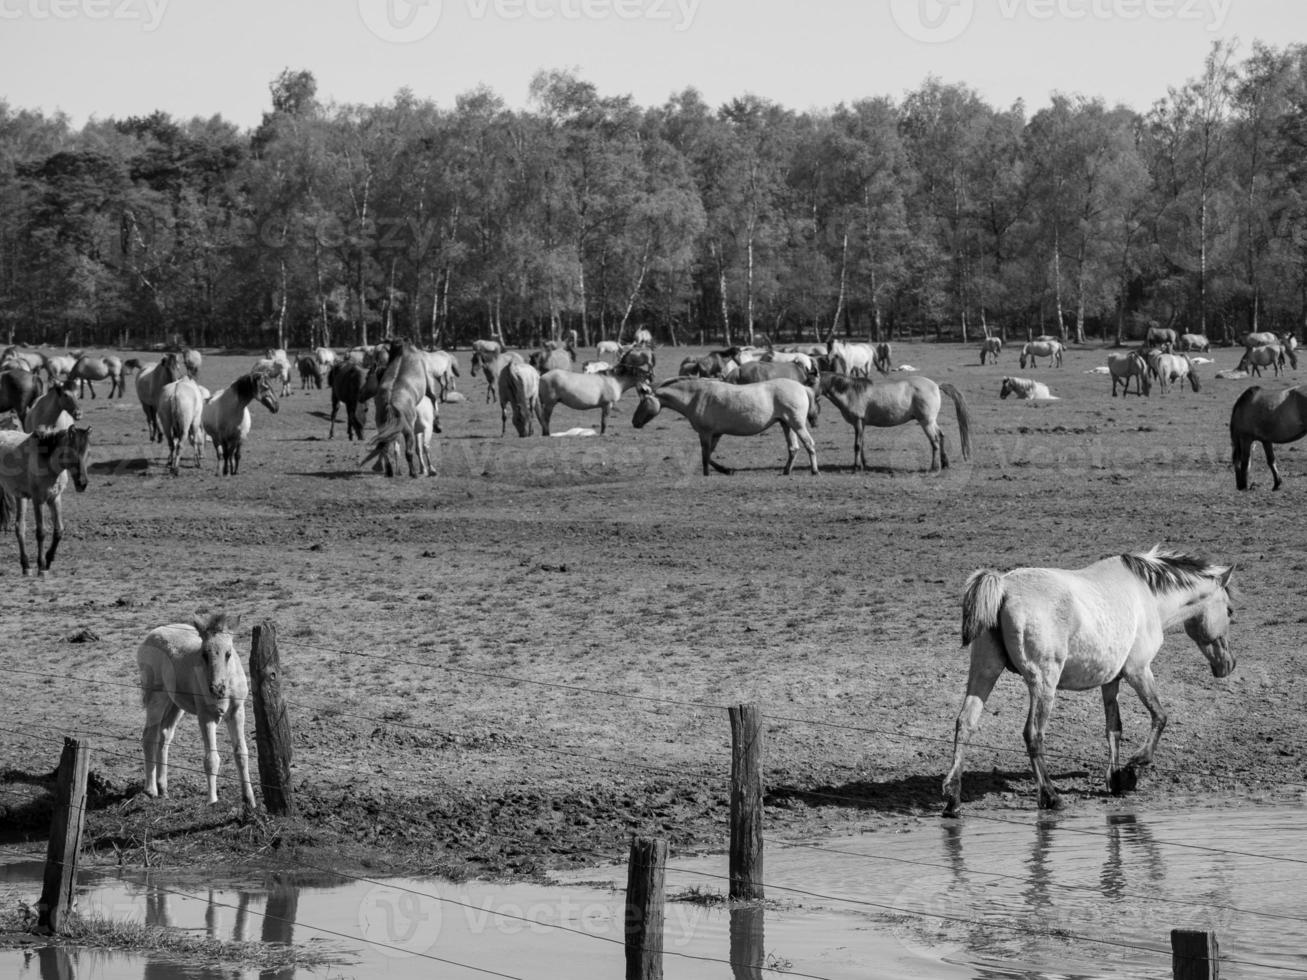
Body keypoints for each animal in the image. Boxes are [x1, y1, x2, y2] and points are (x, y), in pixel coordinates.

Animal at [0, 423, 92, 574]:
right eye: (70, 452)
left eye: (87, 452)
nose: (82, 484)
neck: (46, 461)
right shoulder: (38, 500)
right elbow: (41, 532)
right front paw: (41, 565)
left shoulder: (54, 498)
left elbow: (59, 530)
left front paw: (48, 560)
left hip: (21, 496)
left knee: (20, 527)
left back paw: (26, 566)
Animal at [136, 614, 256, 815]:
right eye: (204, 654)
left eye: (228, 653)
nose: (217, 688)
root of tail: (152, 634)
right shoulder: (206, 716)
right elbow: (211, 759)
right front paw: (212, 801)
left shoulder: (237, 712)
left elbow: (241, 753)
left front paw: (249, 801)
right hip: (156, 697)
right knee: (149, 736)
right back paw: (151, 790)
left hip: (175, 704)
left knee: (164, 735)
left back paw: (163, 789)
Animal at [632, 378, 815, 478]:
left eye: (643, 401)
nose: (634, 422)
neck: (695, 397)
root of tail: (802, 387)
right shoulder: (716, 434)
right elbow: (708, 455)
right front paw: (725, 470)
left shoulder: (705, 433)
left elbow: (705, 455)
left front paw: (712, 473)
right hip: (786, 424)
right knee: (793, 448)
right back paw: (786, 471)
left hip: (797, 424)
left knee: (809, 444)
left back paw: (814, 471)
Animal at [815, 371, 972, 473]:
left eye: (811, 382)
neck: (852, 392)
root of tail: (935, 385)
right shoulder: (861, 424)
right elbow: (862, 443)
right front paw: (864, 465)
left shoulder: (858, 422)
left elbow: (857, 445)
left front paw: (856, 467)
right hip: (931, 421)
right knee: (941, 435)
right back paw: (944, 463)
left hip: (926, 422)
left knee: (935, 440)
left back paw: (934, 468)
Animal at [941, 548, 1233, 815]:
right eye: (1229, 611)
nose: (1228, 664)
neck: (1147, 595)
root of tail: (1004, 587)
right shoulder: (1139, 671)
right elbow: (1160, 716)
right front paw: (1136, 764)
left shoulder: (1111, 681)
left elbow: (1114, 728)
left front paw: (1116, 780)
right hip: (1043, 683)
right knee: (1033, 734)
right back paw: (1050, 796)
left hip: (985, 671)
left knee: (965, 724)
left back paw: (953, 798)